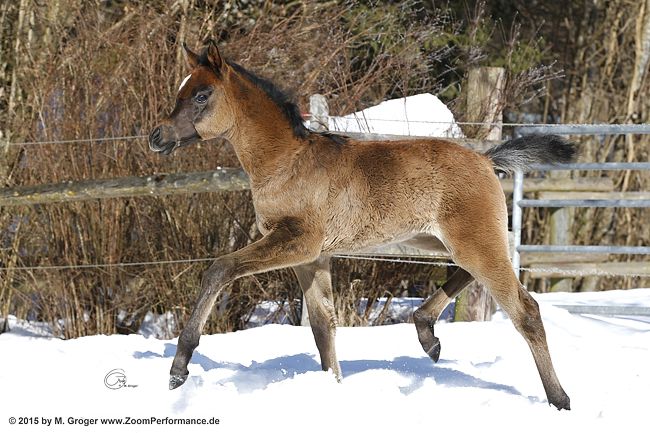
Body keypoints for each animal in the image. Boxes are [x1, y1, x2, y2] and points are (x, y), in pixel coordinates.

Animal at [149, 41, 573, 410]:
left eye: (201, 95)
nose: (157, 136)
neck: (286, 162)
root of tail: (486, 160)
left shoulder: (297, 241)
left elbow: (221, 268)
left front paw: (178, 369)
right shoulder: (312, 257)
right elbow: (324, 326)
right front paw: (333, 386)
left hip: (473, 239)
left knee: (525, 309)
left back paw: (560, 400)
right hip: (439, 239)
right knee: (470, 271)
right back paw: (426, 334)